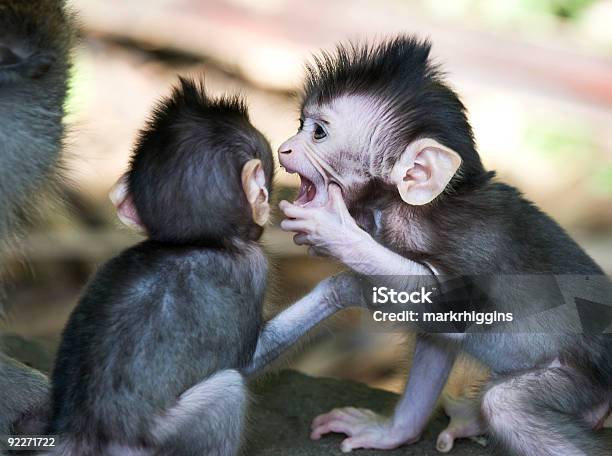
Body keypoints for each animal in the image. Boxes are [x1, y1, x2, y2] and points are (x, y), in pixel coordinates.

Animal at [245, 37, 612, 454]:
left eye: (318, 132)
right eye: (300, 125)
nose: (285, 148)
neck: (405, 207)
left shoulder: (471, 244)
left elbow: (452, 303)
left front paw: (336, 236)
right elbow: (437, 330)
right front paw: (392, 432)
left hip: (584, 374)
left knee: (508, 405)